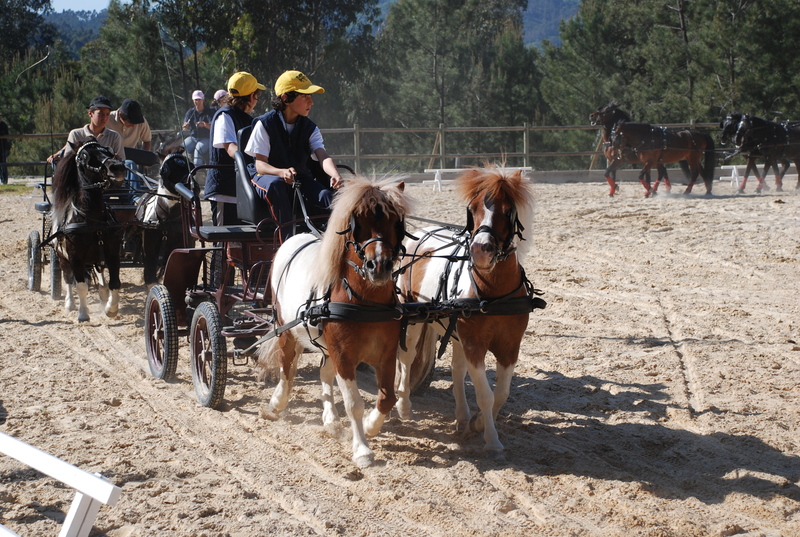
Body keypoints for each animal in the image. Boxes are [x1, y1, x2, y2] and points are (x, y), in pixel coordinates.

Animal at [52, 140, 128, 320]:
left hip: (95, 259)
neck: (92, 218)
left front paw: (111, 309)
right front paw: (83, 313)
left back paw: (103, 293)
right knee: (68, 278)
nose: (117, 167)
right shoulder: (75, 257)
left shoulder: (112, 252)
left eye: (108, 151)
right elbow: (80, 286)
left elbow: (115, 282)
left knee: (100, 276)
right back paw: (70, 303)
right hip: (62, 258)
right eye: (86, 156)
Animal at [134, 152, 192, 284]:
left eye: (190, 166)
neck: (166, 221)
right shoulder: (149, 253)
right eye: (165, 169)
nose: (192, 186)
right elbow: (150, 278)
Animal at [256, 175, 410, 464]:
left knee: (322, 373)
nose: (379, 266)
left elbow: (386, 398)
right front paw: (362, 449)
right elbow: (353, 403)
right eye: (356, 223)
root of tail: (293, 238)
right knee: (286, 367)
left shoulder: (385, 354)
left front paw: (370, 426)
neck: (364, 303)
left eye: (396, 220)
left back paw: (330, 419)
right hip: (285, 330)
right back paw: (277, 402)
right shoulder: (344, 356)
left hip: (324, 343)